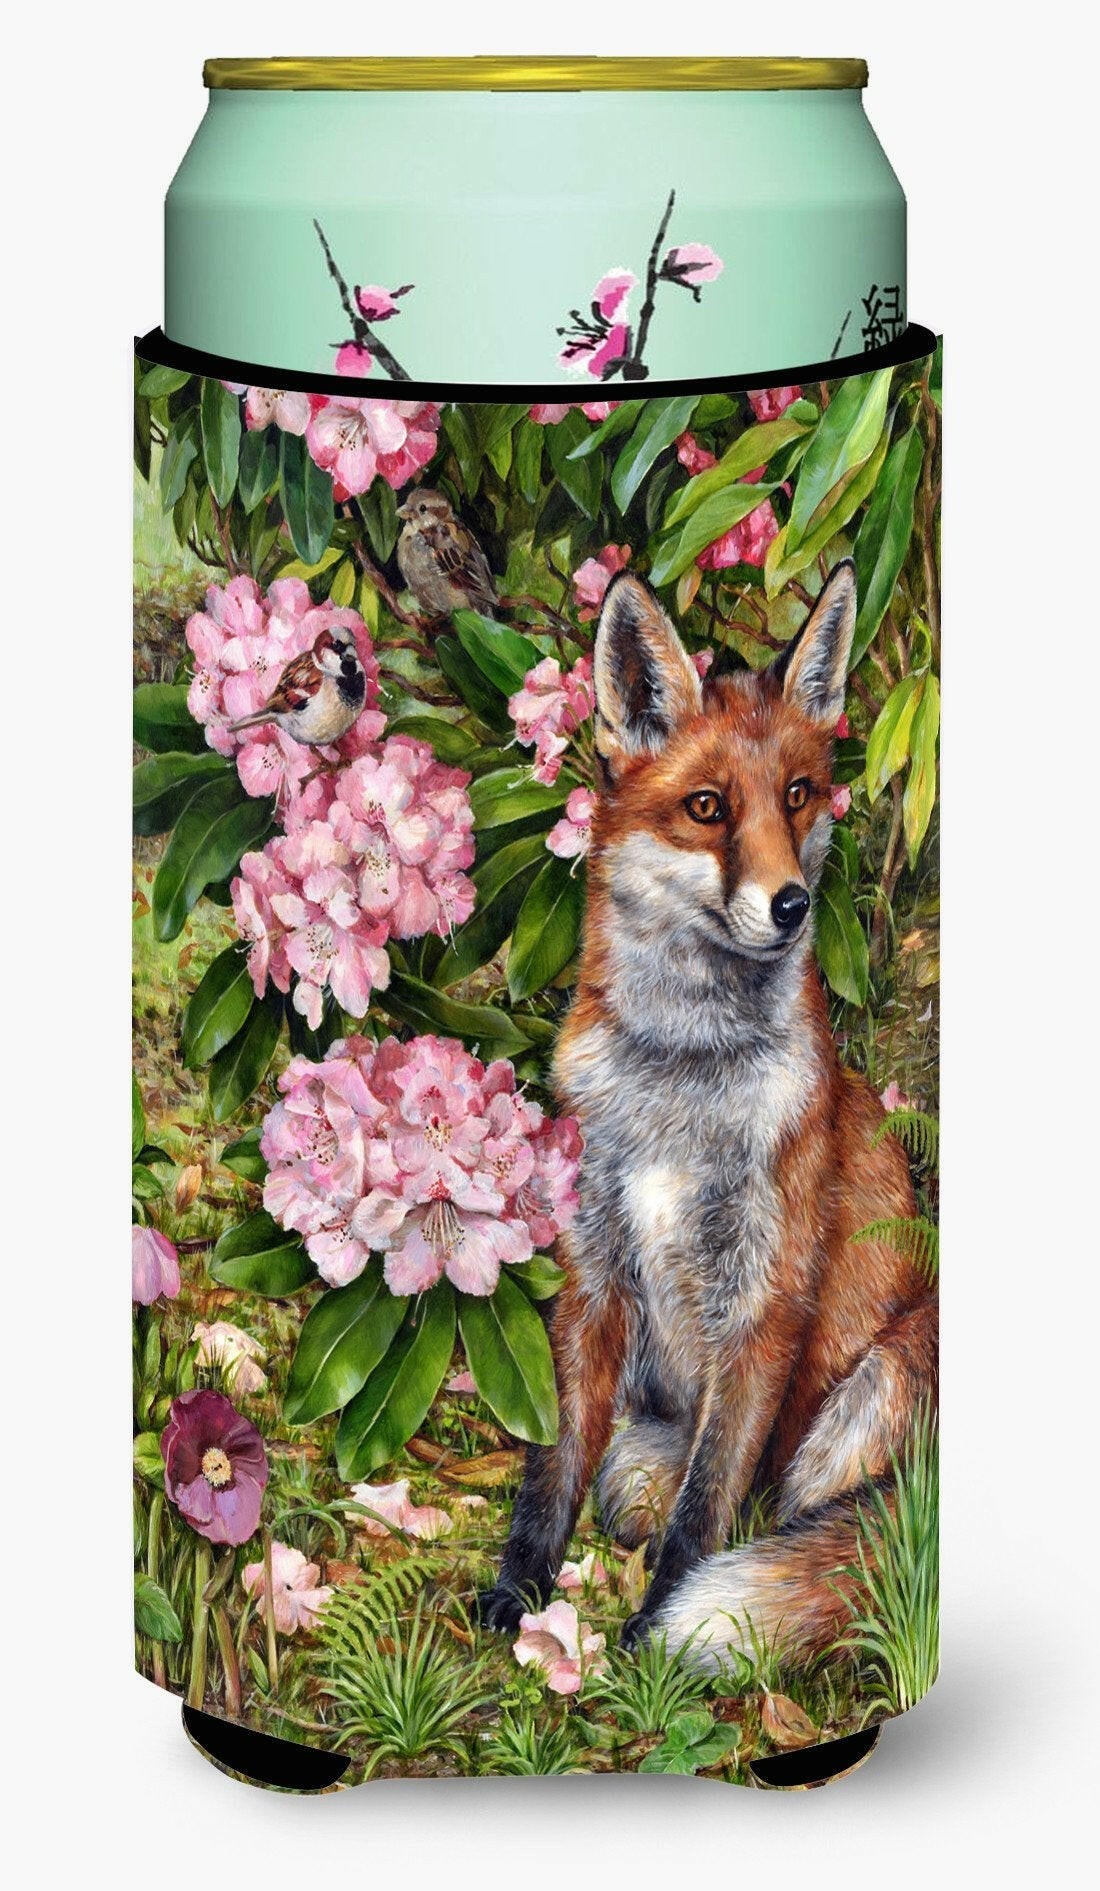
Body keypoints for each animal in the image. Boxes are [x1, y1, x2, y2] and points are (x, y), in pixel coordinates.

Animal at [478, 559, 937, 1670]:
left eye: (798, 795)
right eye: (706, 807)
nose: (792, 905)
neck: (677, 1085)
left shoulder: (765, 1305)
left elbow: (704, 1513)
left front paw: (652, 1635)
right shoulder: (592, 1273)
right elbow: (557, 1465)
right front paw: (521, 1586)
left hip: (878, 1383)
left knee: (806, 1515)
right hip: (649, 1448)